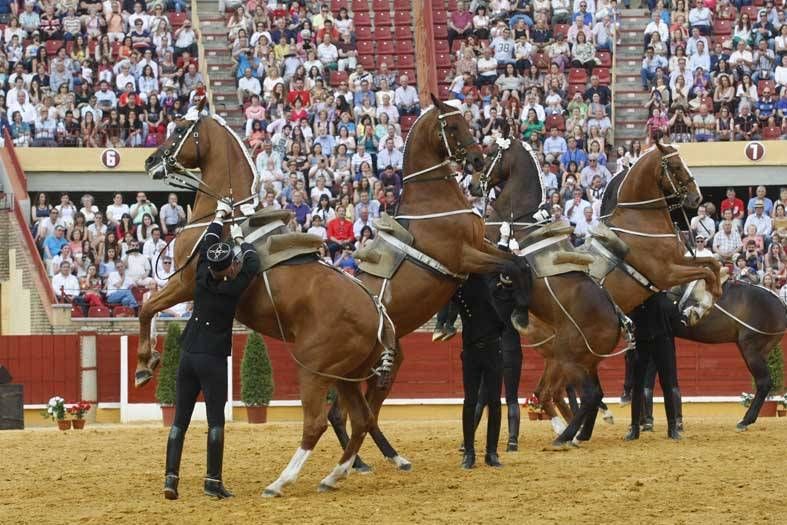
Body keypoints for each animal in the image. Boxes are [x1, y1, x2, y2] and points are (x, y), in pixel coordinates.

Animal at [326, 95, 536, 466]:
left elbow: (518, 262)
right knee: (349, 413)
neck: (434, 201)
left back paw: (383, 458)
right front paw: (521, 314)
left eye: (468, 121)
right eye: (451, 126)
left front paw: (519, 311)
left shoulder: (480, 246)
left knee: (363, 412)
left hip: (384, 363)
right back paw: (365, 461)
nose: (477, 159)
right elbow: (512, 264)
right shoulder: (465, 257)